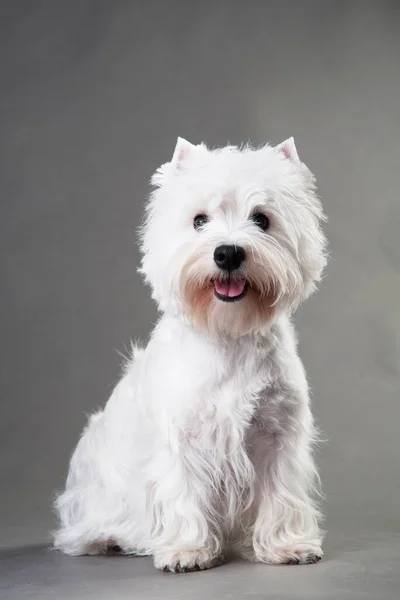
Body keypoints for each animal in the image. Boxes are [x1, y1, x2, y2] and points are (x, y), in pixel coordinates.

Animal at [54, 136, 328, 572]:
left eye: (262, 219)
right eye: (199, 220)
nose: (228, 253)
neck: (228, 334)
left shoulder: (277, 433)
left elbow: (281, 491)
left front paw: (288, 546)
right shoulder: (182, 437)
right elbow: (183, 492)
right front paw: (187, 551)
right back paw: (108, 540)